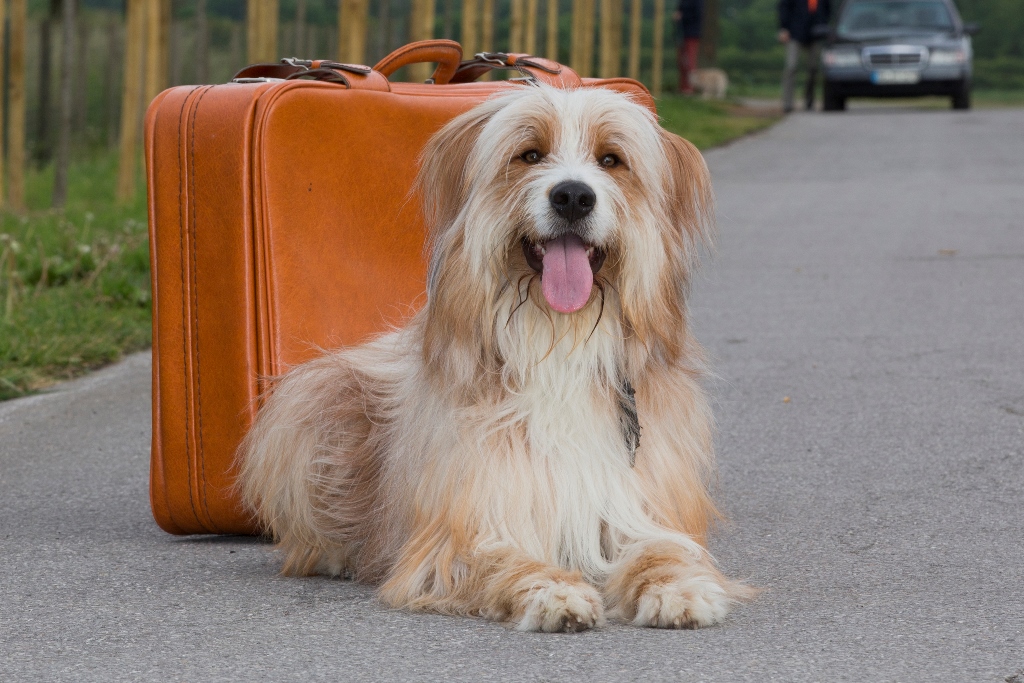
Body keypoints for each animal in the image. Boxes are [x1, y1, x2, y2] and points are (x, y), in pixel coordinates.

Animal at [240, 82, 753, 634]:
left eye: (610, 160)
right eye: (530, 154)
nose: (573, 195)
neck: (559, 338)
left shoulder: (637, 507)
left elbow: (664, 549)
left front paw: (678, 587)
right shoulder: (463, 530)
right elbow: (505, 559)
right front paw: (553, 591)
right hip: (317, 400)